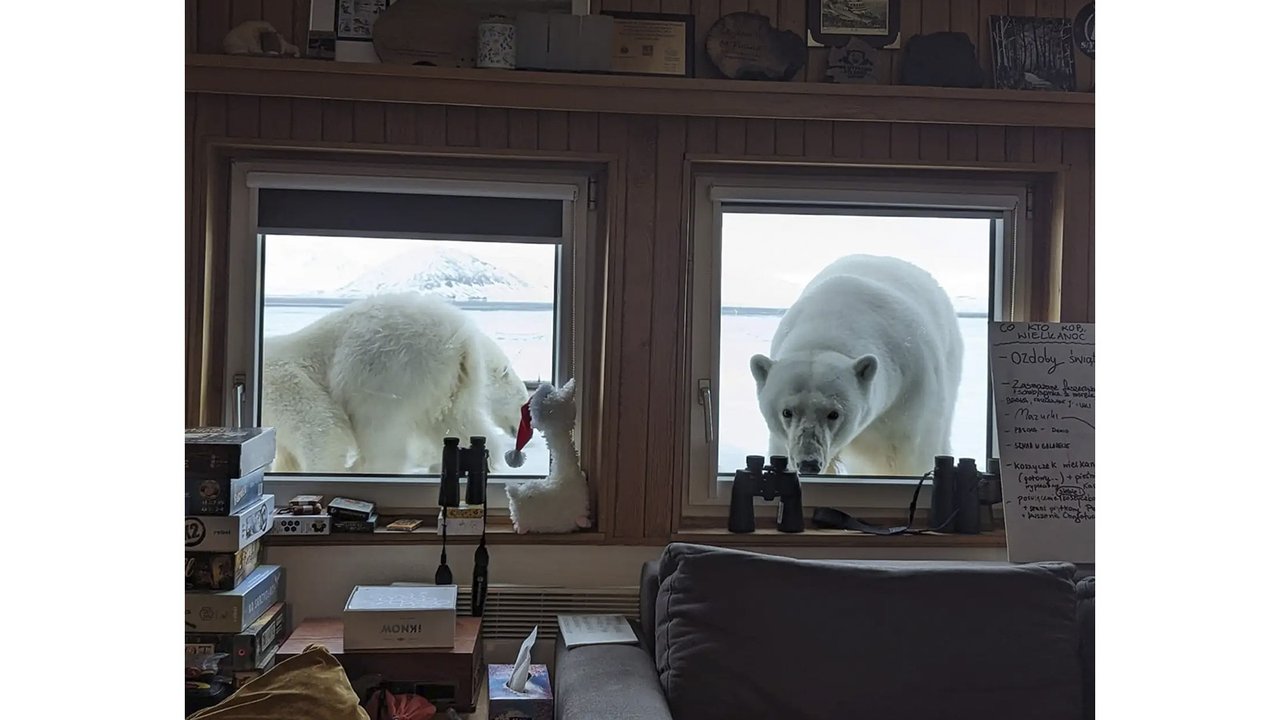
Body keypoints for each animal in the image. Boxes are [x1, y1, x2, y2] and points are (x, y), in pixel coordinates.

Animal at [262, 289, 527, 471]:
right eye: (522, 405)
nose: (520, 446)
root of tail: (461, 342)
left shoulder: (284, 386)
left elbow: (320, 431)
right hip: (446, 383)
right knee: (457, 422)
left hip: (383, 368)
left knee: (379, 431)